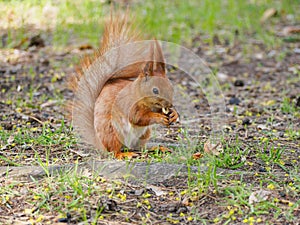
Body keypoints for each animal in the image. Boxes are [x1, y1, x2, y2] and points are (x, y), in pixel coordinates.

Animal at [68, 12, 178, 158]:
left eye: (171, 87)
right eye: (155, 90)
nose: (169, 105)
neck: (138, 93)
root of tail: (100, 143)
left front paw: (174, 114)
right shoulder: (129, 104)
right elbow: (137, 117)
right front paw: (158, 117)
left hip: (144, 135)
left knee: (140, 148)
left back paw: (156, 148)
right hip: (112, 132)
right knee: (114, 151)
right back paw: (124, 154)